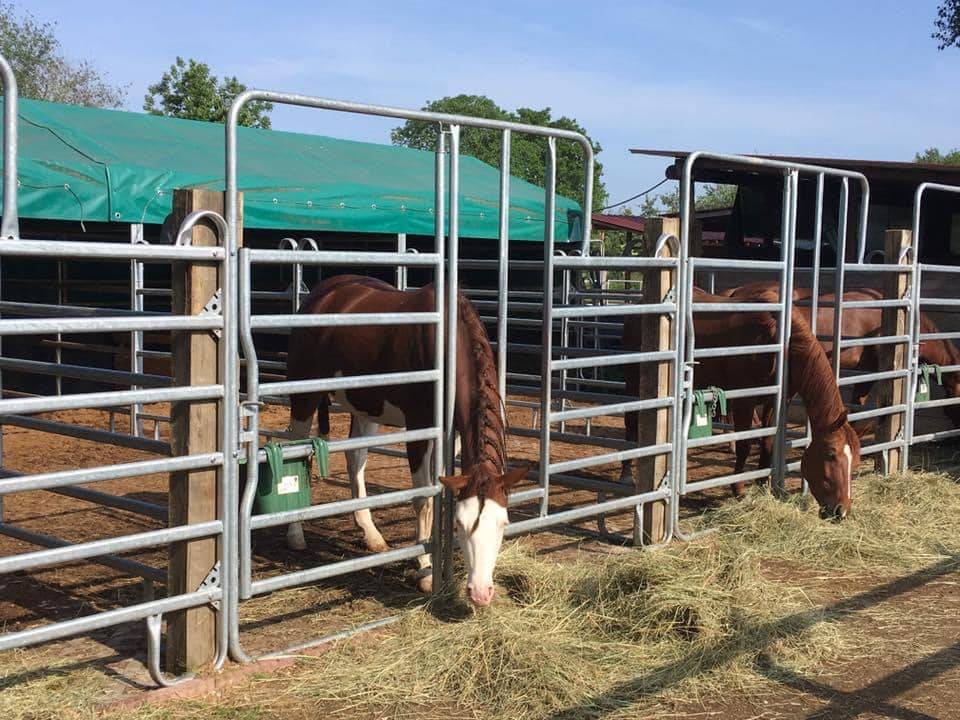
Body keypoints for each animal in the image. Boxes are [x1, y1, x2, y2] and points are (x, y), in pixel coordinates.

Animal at [284, 275, 526, 607]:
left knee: (355, 460)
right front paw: (424, 570)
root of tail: (319, 295)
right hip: (304, 398)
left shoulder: (454, 433)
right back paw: (295, 535)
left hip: (366, 406)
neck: (448, 341)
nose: (480, 593)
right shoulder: (420, 427)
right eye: (461, 526)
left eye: (503, 524)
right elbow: (423, 499)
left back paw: (371, 534)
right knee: (294, 453)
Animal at [622, 286, 861, 519]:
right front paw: (738, 490)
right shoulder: (745, 400)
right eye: (831, 454)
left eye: (856, 460)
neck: (777, 339)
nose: (841, 510)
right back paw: (627, 474)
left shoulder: (775, 400)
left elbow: (768, 442)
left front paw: (763, 486)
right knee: (631, 423)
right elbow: (744, 445)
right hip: (634, 381)